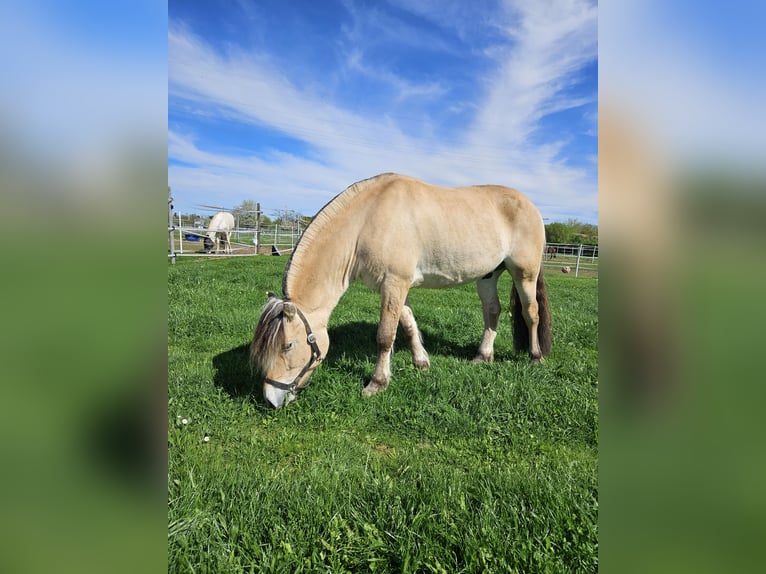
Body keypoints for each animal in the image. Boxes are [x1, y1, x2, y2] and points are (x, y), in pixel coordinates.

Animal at [252, 173, 552, 408]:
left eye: (288, 345)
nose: (270, 399)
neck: (367, 219)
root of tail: (531, 206)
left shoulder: (395, 282)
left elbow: (385, 336)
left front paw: (377, 383)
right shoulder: (394, 286)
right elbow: (406, 323)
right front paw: (421, 363)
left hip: (524, 274)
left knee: (531, 313)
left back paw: (536, 357)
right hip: (488, 276)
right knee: (492, 311)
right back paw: (483, 356)